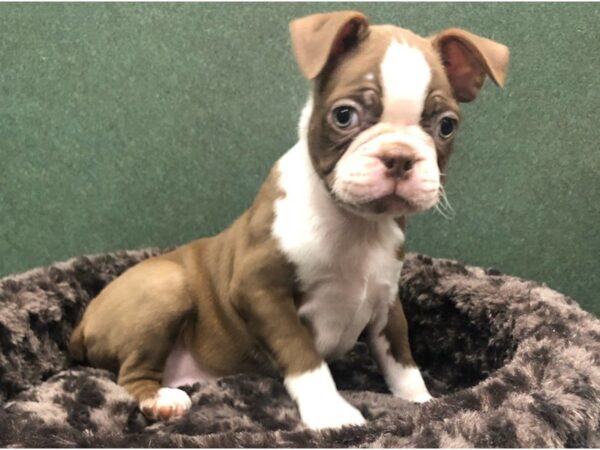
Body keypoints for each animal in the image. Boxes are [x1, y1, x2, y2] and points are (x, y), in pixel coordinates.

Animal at [71, 10, 510, 430]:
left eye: (446, 126)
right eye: (344, 116)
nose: (399, 156)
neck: (355, 224)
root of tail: (81, 324)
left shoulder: (387, 301)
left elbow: (402, 359)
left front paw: (422, 402)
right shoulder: (259, 290)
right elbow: (304, 356)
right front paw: (331, 413)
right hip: (165, 287)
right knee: (130, 375)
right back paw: (161, 400)